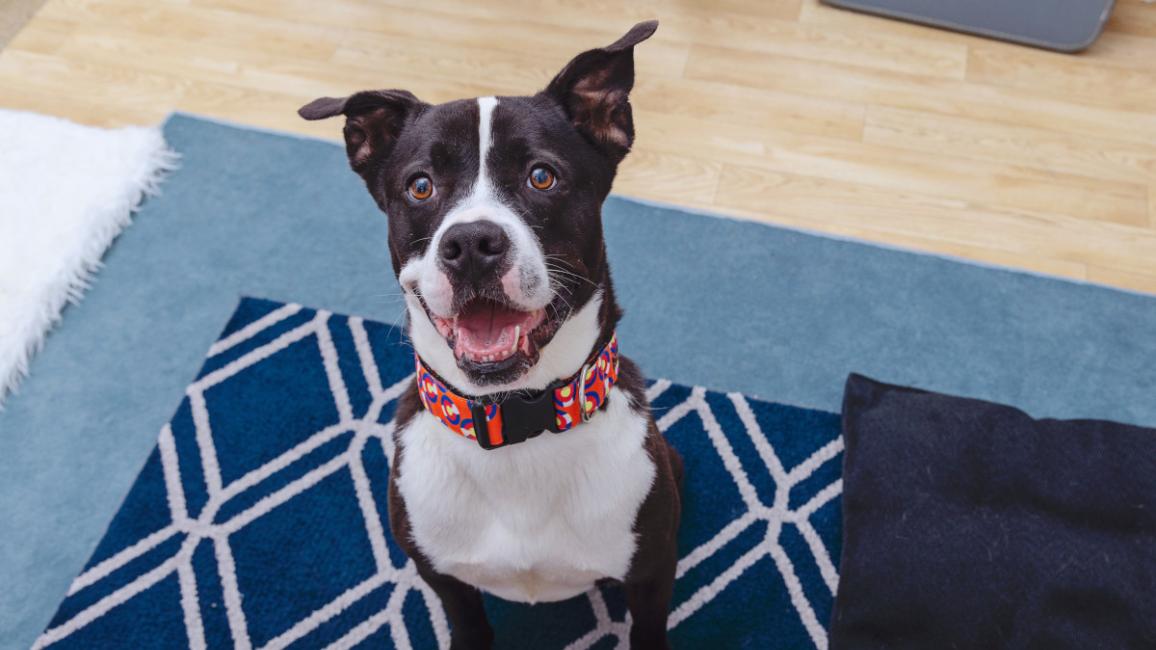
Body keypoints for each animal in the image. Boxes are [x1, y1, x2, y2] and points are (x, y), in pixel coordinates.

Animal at [300, 21, 684, 647]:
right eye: (421, 186)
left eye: (542, 177)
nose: (471, 244)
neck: (515, 424)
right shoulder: (443, 577)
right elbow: (468, 623)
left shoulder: (651, 576)